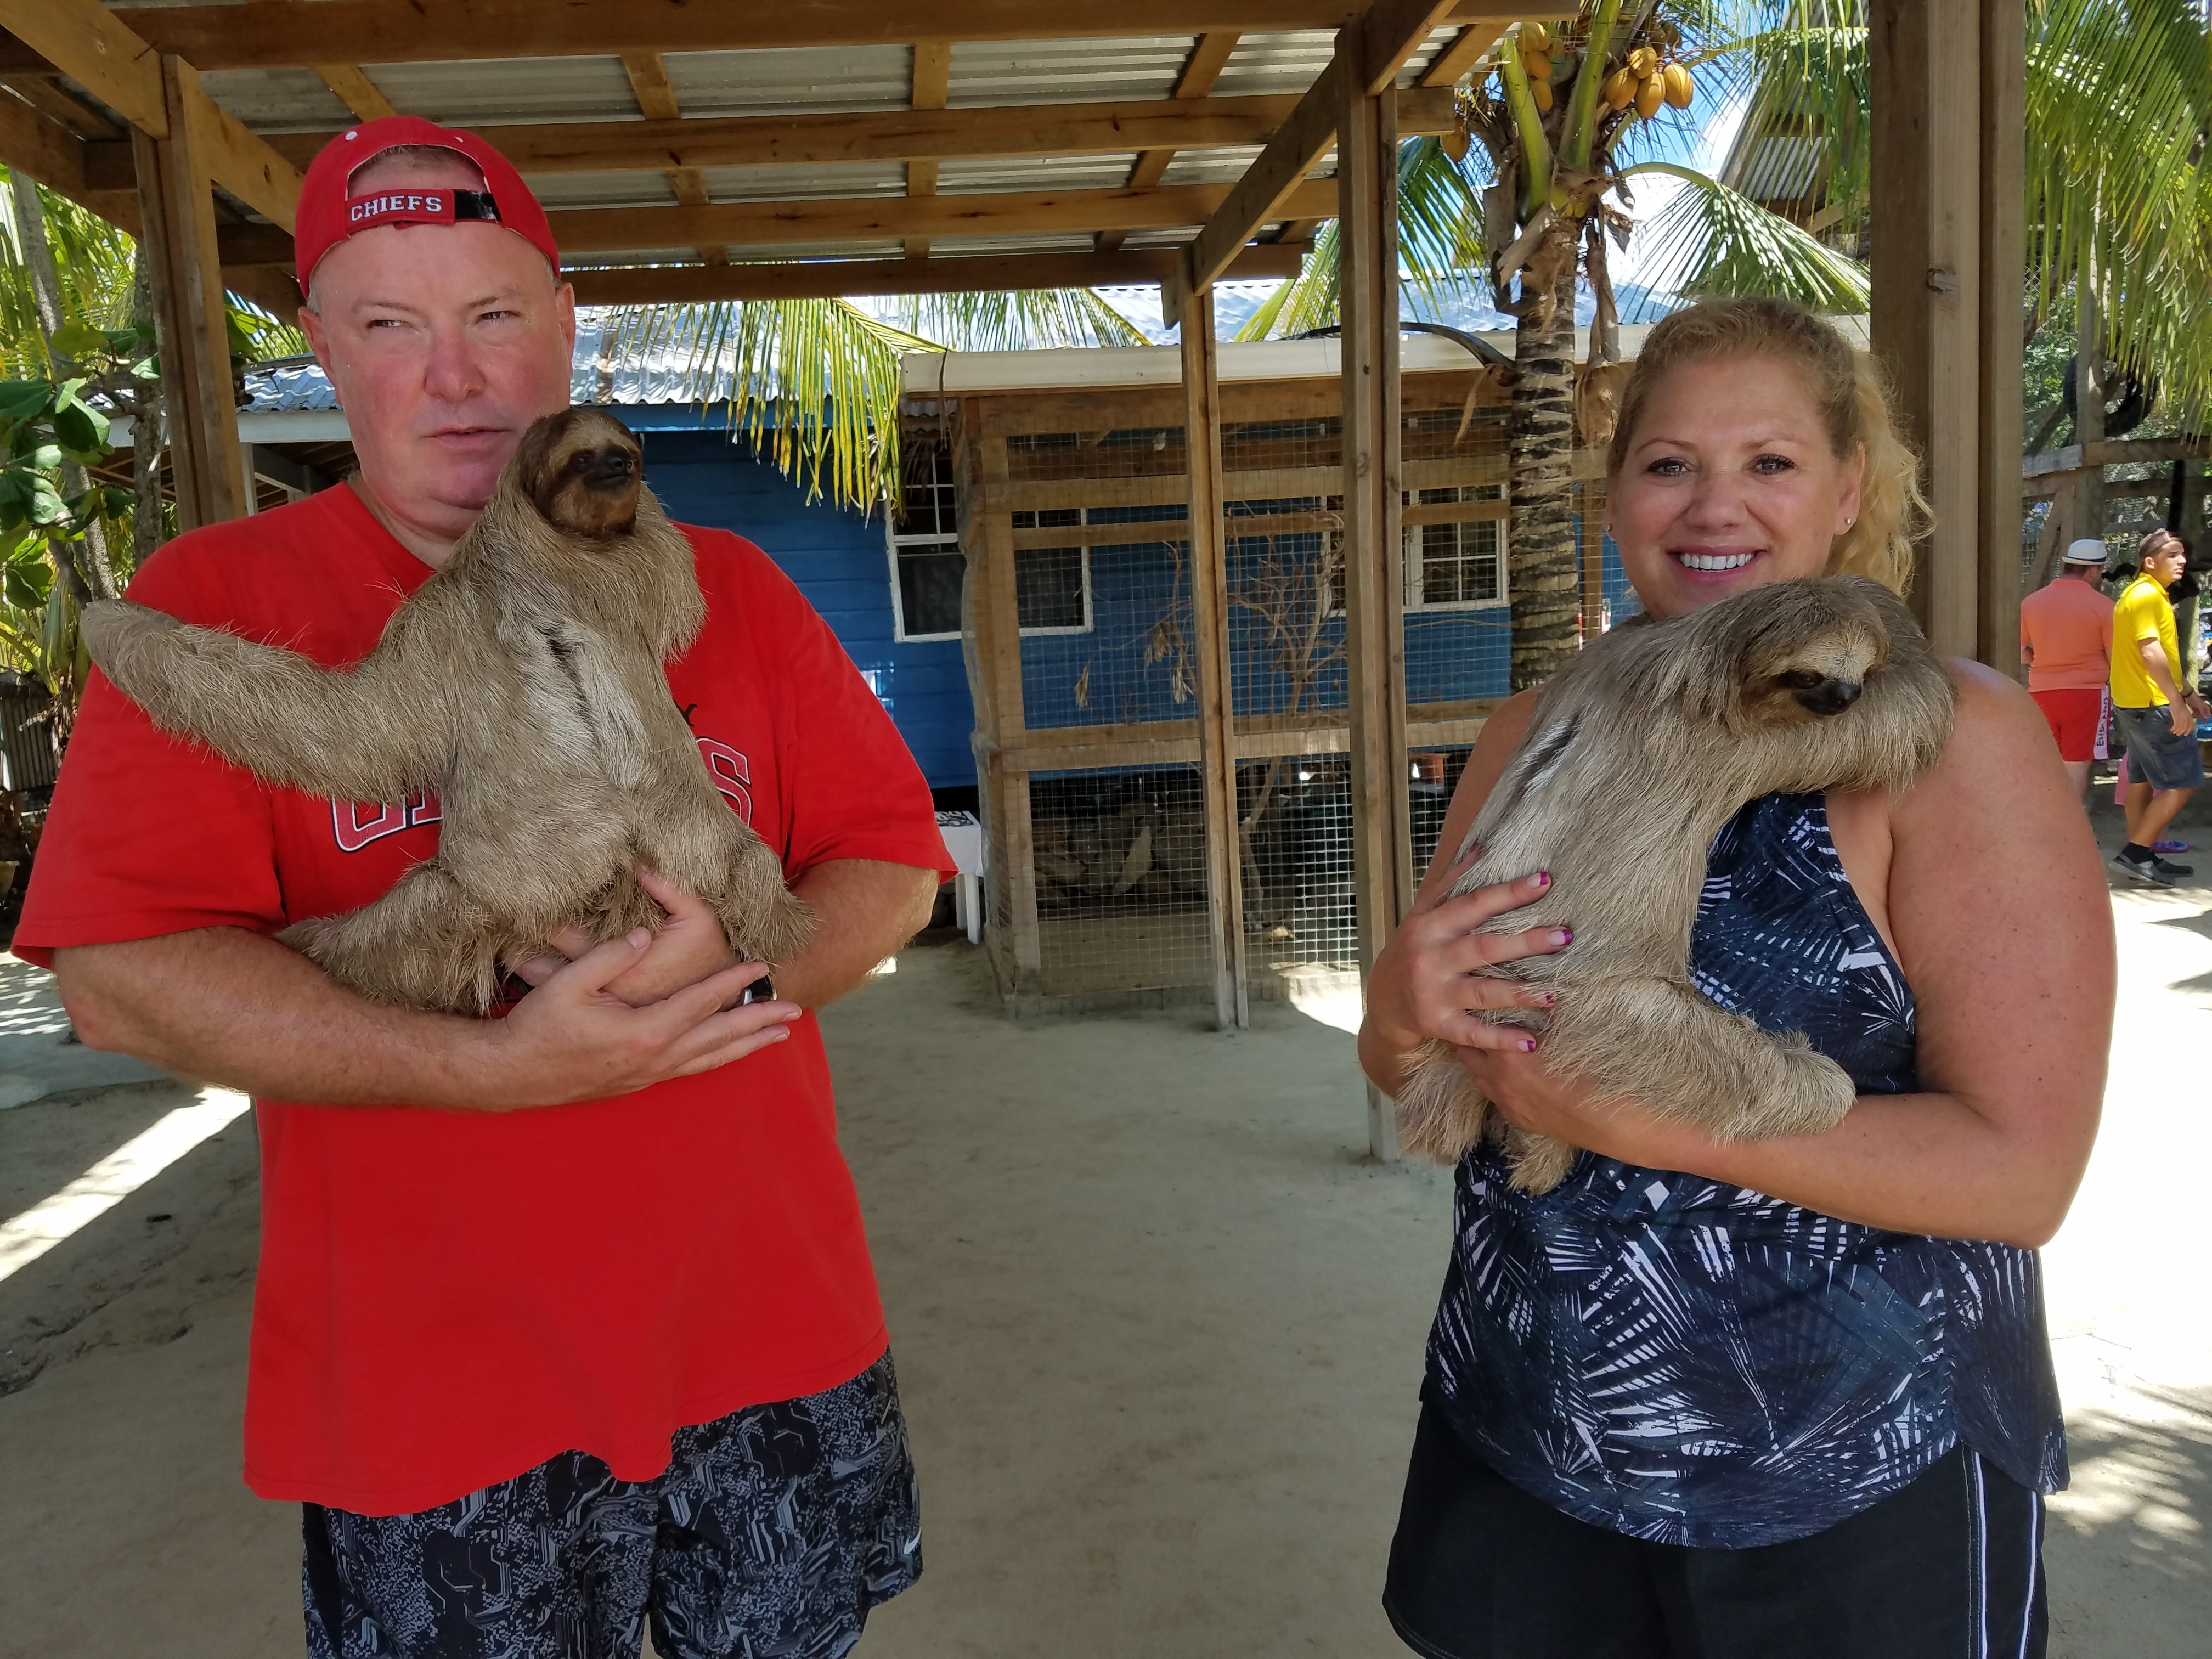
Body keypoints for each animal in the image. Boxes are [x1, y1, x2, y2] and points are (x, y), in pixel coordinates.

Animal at [80, 407, 813, 1015]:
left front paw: (108, 618)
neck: (568, 563)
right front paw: (110, 614)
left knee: (400, 927)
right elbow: (350, 729)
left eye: (624, 454)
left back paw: (309, 938)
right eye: (582, 460)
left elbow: (352, 730)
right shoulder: (458, 611)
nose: (619, 467)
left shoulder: (453, 615)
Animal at [1394, 575, 1955, 1194]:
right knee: (1811, 1085)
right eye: (1809, 677)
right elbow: (1910, 710)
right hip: (1587, 1012)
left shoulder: (1601, 655)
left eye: (1852, 674)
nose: (1843, 696)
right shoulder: (1740, 740)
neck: (1686, 660)